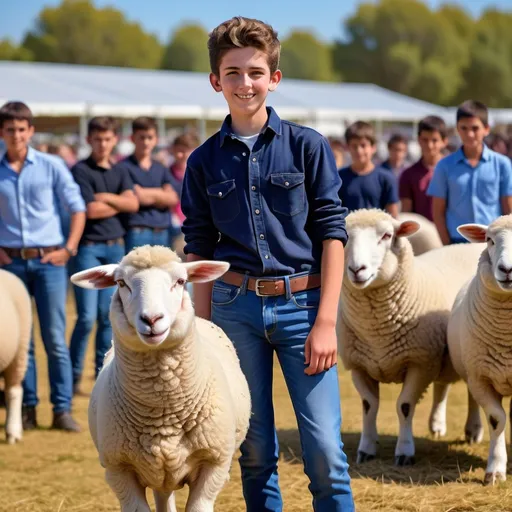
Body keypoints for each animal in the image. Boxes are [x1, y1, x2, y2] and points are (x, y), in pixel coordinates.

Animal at [70, 246, 252, 510]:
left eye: (181, 281)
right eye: (121, 283)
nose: (152, 319)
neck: (163, 409)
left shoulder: (215, 464)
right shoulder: (118, 469)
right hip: (158, 472)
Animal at [338, 210, 486, 466]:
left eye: (387, 235)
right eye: (344, 237)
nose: (357, 269)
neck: (377, 333)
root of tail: (467, 245)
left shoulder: (419, 363)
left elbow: (405, 406)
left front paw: (404, 451)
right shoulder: (358, 365)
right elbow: (369, 406)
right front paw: (366, 449)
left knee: (472, 392)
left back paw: (473, 429)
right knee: (443, 385)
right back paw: (436, 424)